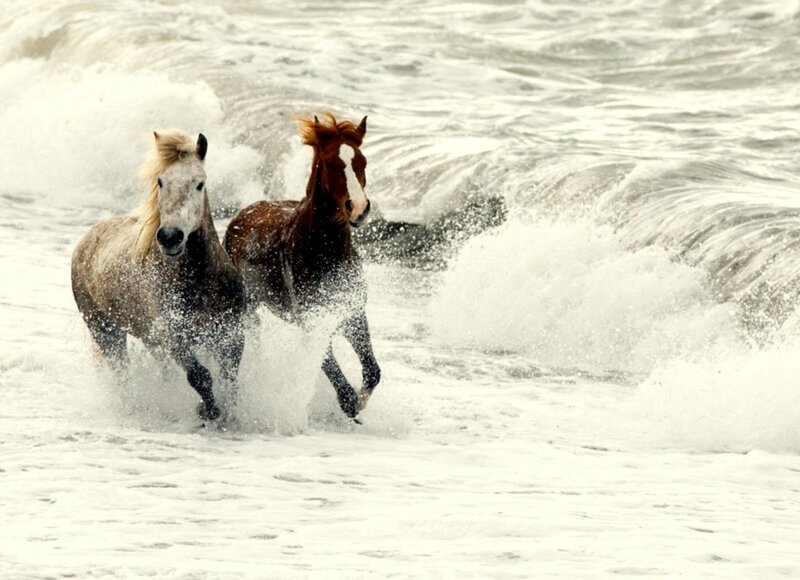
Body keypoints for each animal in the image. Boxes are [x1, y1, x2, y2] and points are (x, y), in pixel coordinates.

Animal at [71, 130, 245, 421]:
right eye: (161, 182)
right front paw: (208, 412)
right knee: (122, 373)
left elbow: (229, 377)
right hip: (105, 331)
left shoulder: (230, 332)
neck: (200, 279)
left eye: (199, 184)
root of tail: (86, 240)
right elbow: (200, 376)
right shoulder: (175, 337)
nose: (170, 237)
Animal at [224, 113, 380, 419]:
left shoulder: (353, 313)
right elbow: (336, 378)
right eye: (332, 163)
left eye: (362, 162)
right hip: (249, 306)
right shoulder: (309, 321)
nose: (358, 208)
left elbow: (372, 371)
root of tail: (242, 213)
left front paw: (360, 402)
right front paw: (350, 405)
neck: (323, 251)